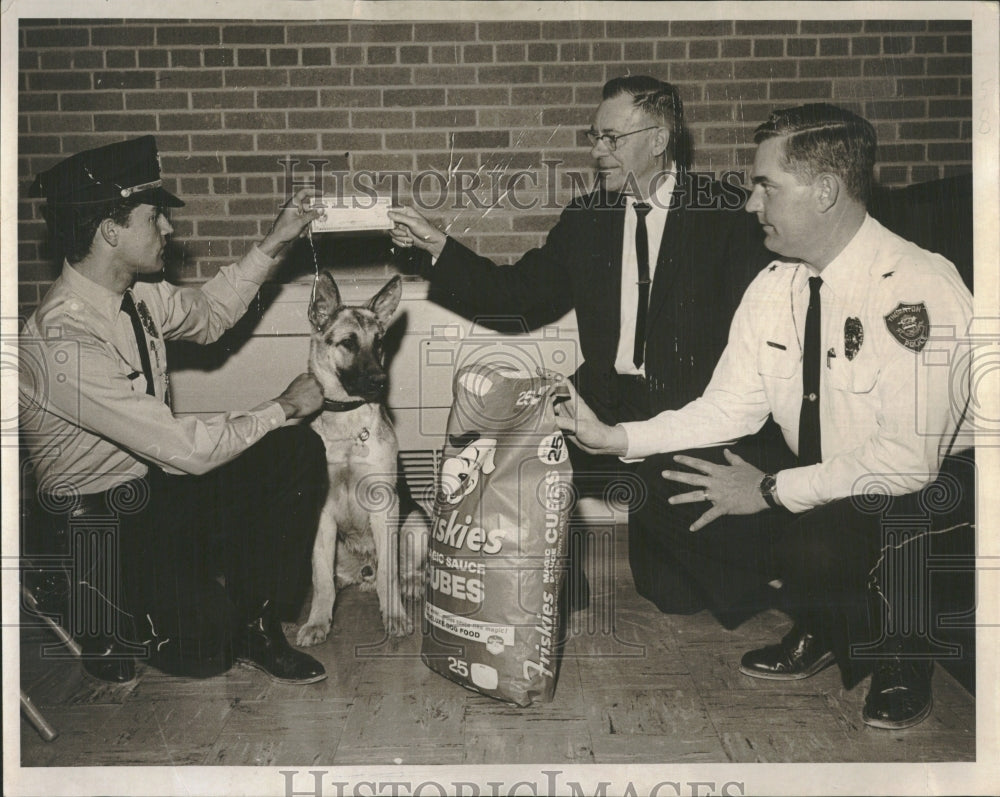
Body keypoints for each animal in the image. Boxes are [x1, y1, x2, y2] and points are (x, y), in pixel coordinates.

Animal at [292, 274, 426, 648]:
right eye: (349, 343)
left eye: (379, 343)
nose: (380, 382)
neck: (346, 421)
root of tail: (363, 568)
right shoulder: (321, 514)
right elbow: (321, 577)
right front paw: (318, 621)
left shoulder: (385, 507)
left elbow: (390, 575)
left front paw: (394, 615)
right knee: (333, 576)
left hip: (415, 525)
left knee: (398, 569)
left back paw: (409, 584)